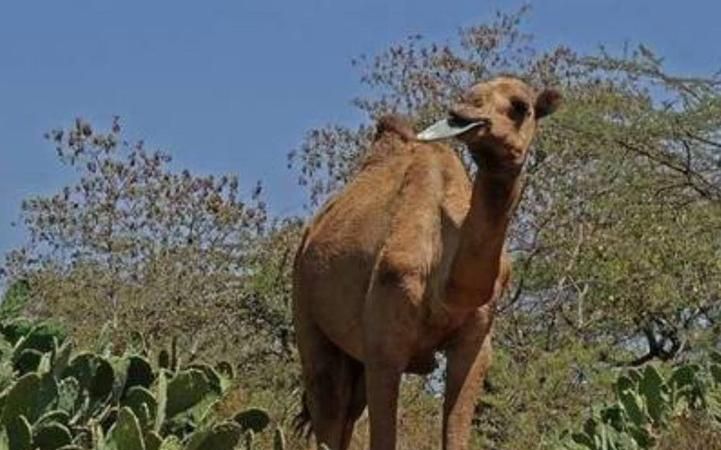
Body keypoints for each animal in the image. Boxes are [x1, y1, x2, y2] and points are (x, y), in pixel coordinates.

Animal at [292, 77, 564, 450]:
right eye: (469, 93)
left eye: (520, 106)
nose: (462, 112)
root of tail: (309, 233)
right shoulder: (384, 343)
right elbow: (384, 438)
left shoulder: (476, 340)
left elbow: (456, 432)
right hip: (305, 306)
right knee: (327, 405)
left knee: (345, 412)